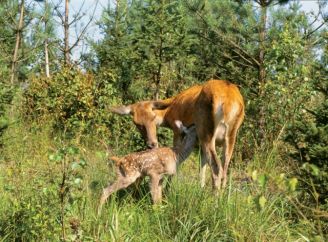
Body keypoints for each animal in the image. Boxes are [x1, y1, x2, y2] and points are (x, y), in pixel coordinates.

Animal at [109, 80, 245, 190]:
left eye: (153, 118)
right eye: (137, 123)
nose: (152, 144)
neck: (168, 114)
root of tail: (229, 102)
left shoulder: (177, 131)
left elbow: (177, 158)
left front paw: (168, 189)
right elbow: (202, 165)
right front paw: (200, 189)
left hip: (205, 130)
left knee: (217, 168)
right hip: (231, 135)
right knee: (224, 169)